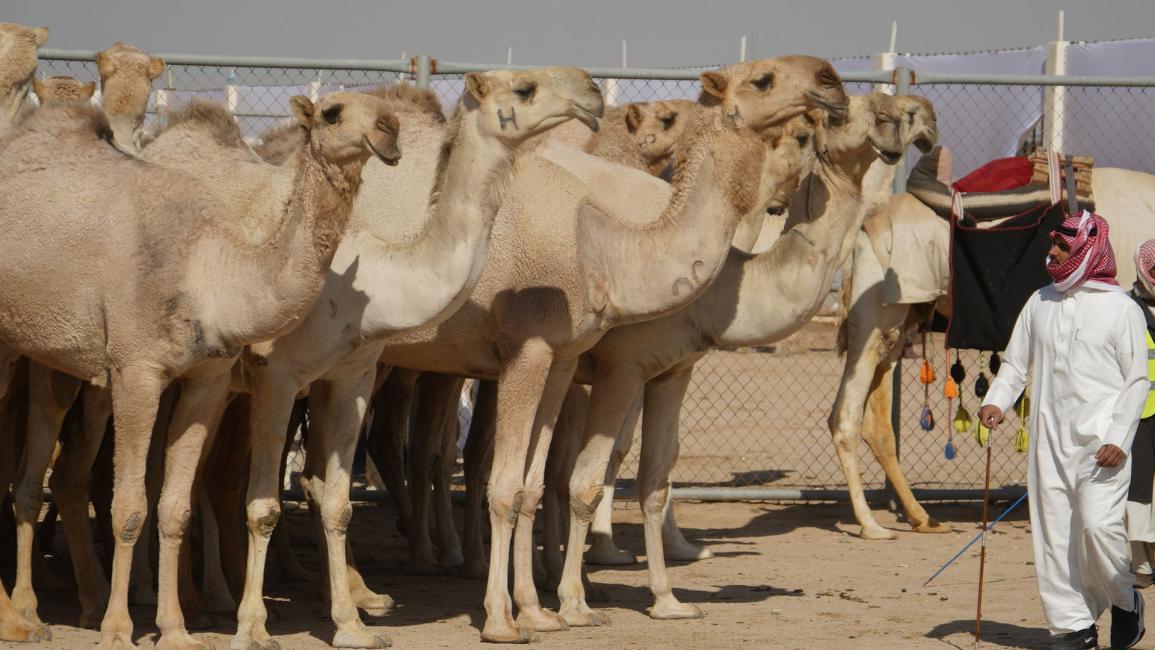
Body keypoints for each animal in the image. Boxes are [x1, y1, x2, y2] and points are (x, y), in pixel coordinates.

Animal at [0, 92, 399, 650]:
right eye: (333, 112)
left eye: (384, 105)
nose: (390, 129)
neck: (207, 273)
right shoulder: (136, 369)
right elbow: (129, 508)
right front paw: (119, 629)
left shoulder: (208, 379)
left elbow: (173, 506)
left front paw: (175, 630)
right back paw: (26, 615)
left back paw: (35, 613)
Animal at [225, 67, 605, 650]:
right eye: (524, 88)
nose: (592, 90)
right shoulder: (278, 377)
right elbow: (264, 503)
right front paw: (252, 629)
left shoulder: (350, 374)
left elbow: (334, 497)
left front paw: (351, 626)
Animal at [369, 57, 850, 646]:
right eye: (764, 80)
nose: (831, 81)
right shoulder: (601, 363)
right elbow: (574, 477)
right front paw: (551, 605)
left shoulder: (632, 365)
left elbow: (595, 476)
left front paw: (639, 598)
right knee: (416, 451)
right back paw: (417, 570)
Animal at [826, 151, 1155, 540]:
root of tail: (865, 229)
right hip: (874, 312)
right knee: (845, 417)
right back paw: (870, 523)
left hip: (896, 325)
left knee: (876, 422)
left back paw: (923, 517)